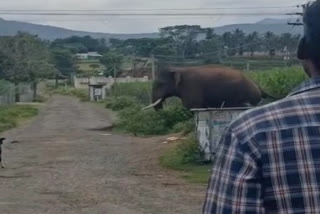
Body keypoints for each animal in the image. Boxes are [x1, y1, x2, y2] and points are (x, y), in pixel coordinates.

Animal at [144, 63, 274, 110]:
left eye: (160, 84)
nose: (162, 110)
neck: (179, 69)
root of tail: (258, 86)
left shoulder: (192, 87)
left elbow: (191, 107)